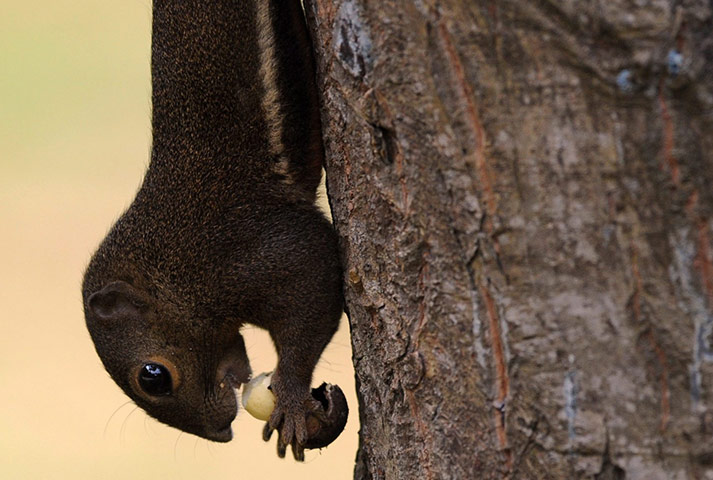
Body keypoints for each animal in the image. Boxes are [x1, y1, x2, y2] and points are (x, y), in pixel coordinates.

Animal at [82, 0, 343, 461]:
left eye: (153, 377)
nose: (220, 433)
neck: (169, 275)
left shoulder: (252, 252)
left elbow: (314, 287)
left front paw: (292, 400)